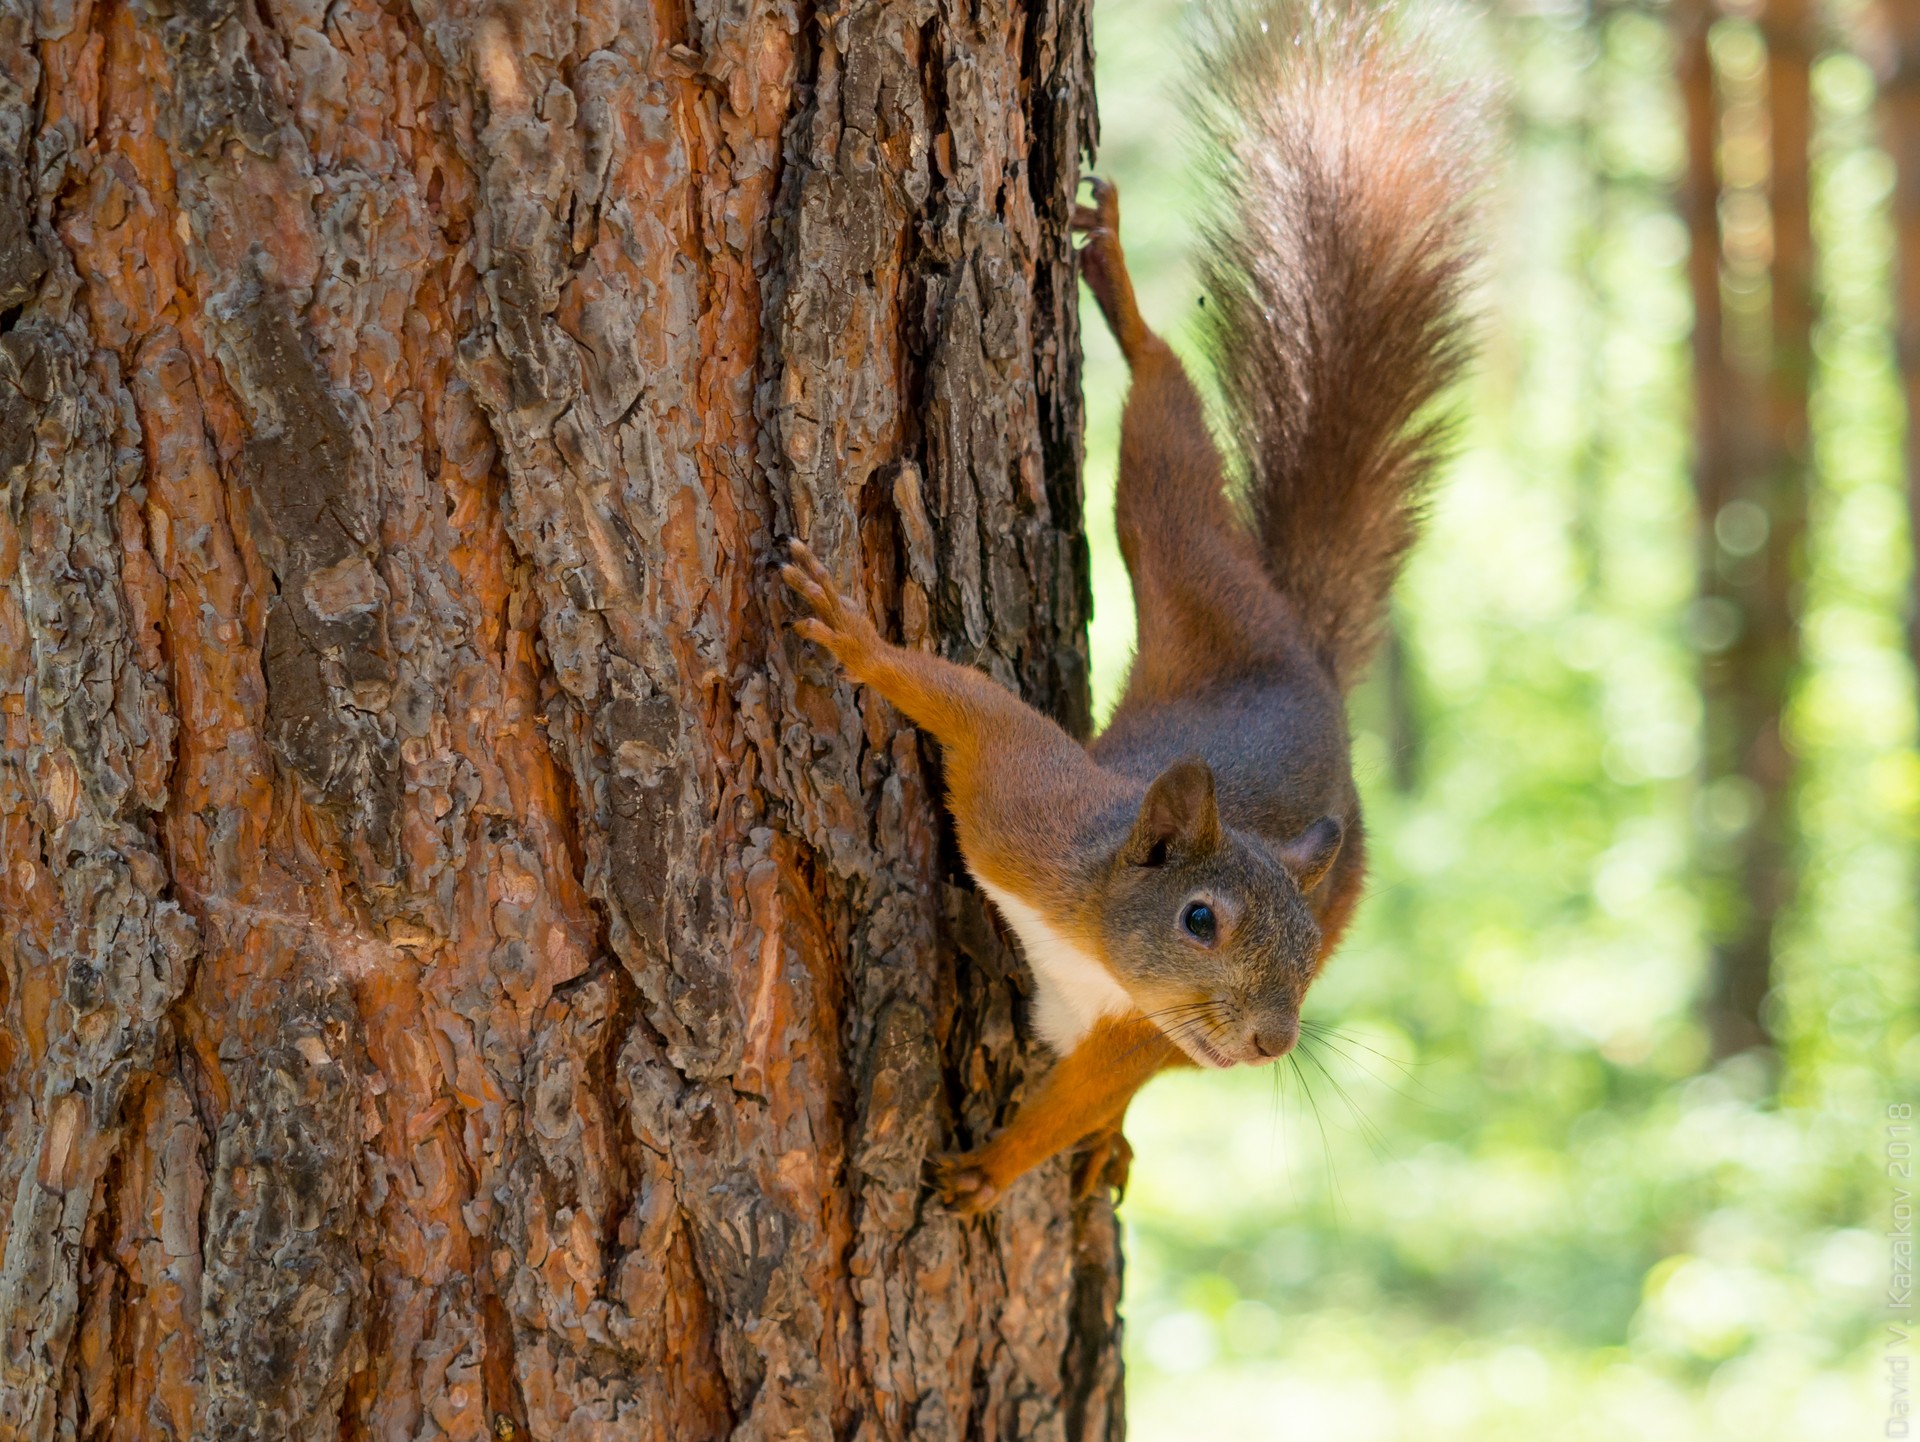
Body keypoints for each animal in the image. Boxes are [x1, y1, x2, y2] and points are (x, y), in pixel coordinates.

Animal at [779, 2, 1482, 1221]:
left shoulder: (1137, 1028)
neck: (1100, 945)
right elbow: (971, 707)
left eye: (1307, 948)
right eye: (1201, 919)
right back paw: (1113, 276)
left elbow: (1080, 1094)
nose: (1270, 1040)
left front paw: (996, 1166)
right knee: (1165, 440)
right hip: (1200, 576)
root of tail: (1306, 659)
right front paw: (864, 644)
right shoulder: (1025, 809)